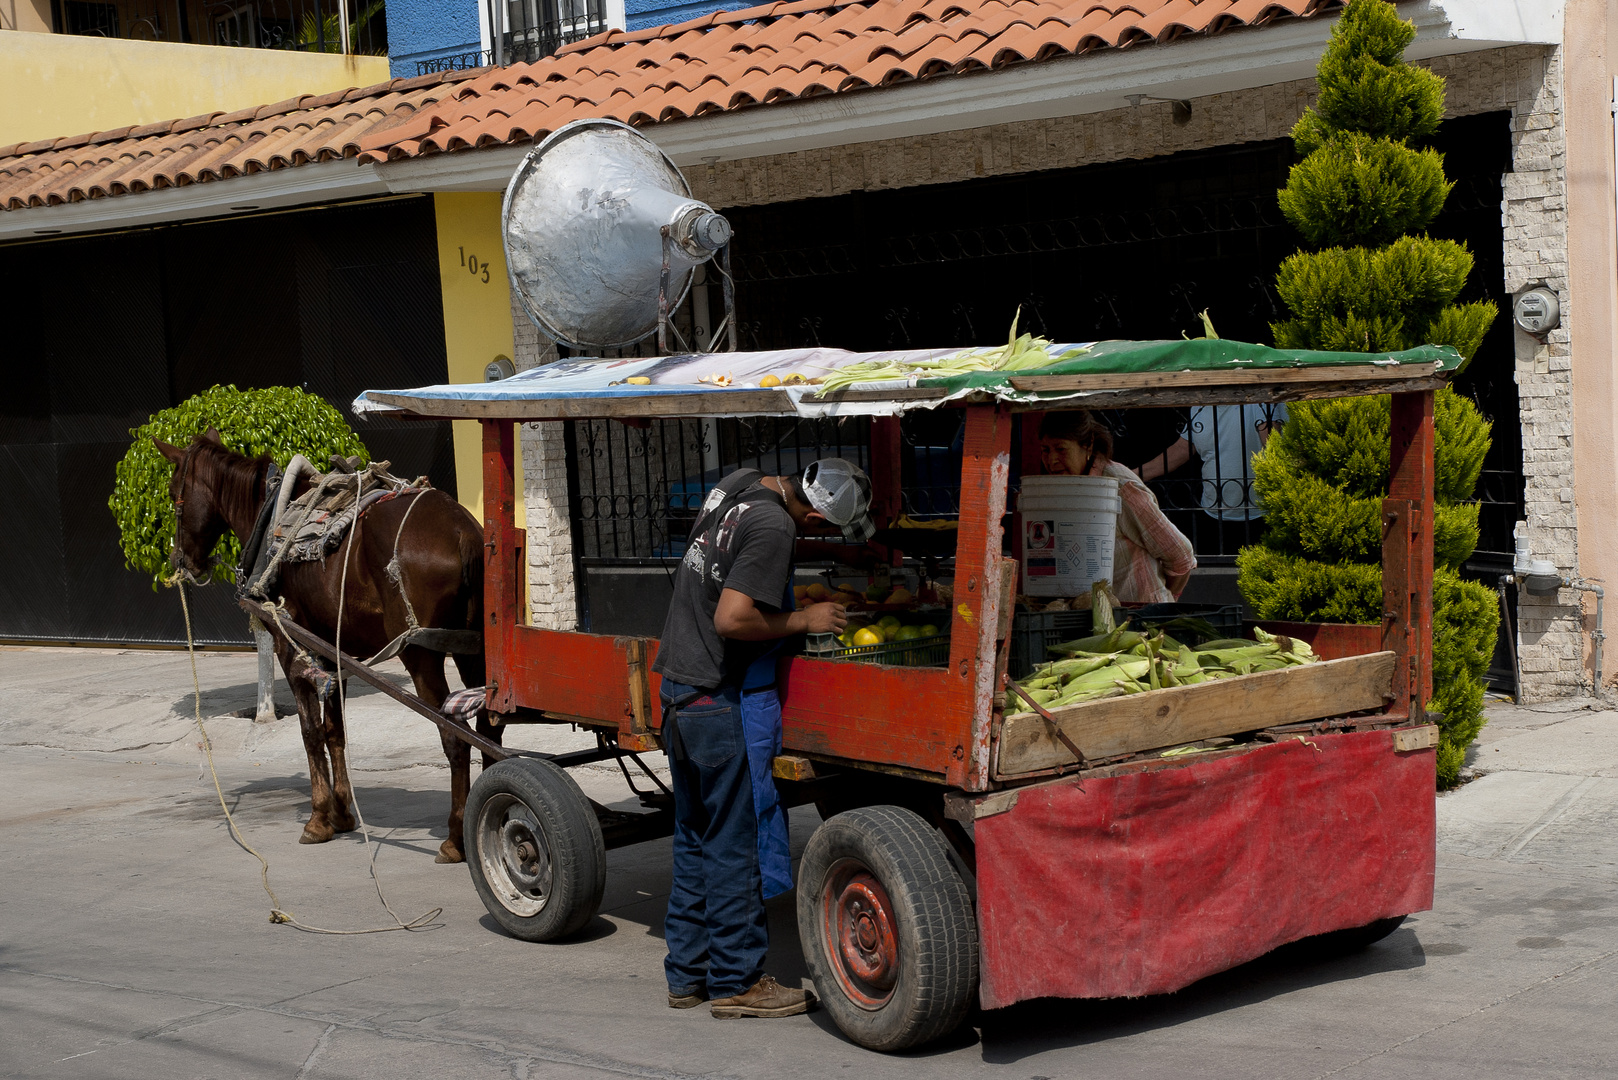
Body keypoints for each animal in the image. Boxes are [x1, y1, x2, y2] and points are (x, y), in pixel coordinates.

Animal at [158, 427, 501, 861]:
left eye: (174, 493)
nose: (180, 561)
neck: (270, 517)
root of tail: (462, 531)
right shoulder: (333, 652)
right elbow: (335, 729)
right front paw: (342, 812)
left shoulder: (291, 649)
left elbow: (310, 731)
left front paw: (319, 818)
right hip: (475, 648)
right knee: (490, 729)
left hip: (422, 653)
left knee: (455, 735)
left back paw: (456, 837)